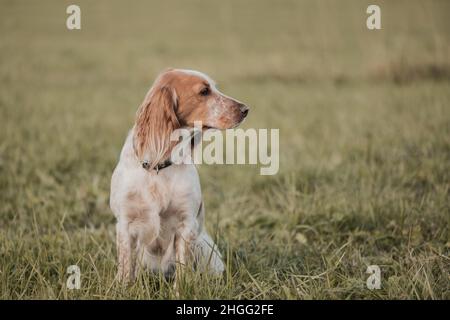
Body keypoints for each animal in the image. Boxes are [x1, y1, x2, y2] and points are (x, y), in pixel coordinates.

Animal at [109, 69, 250, 282]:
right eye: (204, 91)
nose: (245, 109)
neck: (158, 167)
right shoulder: (125, 223)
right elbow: (126, 268)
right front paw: (122, 286)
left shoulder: (186, 224)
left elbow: (183, 270)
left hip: (204, 247)